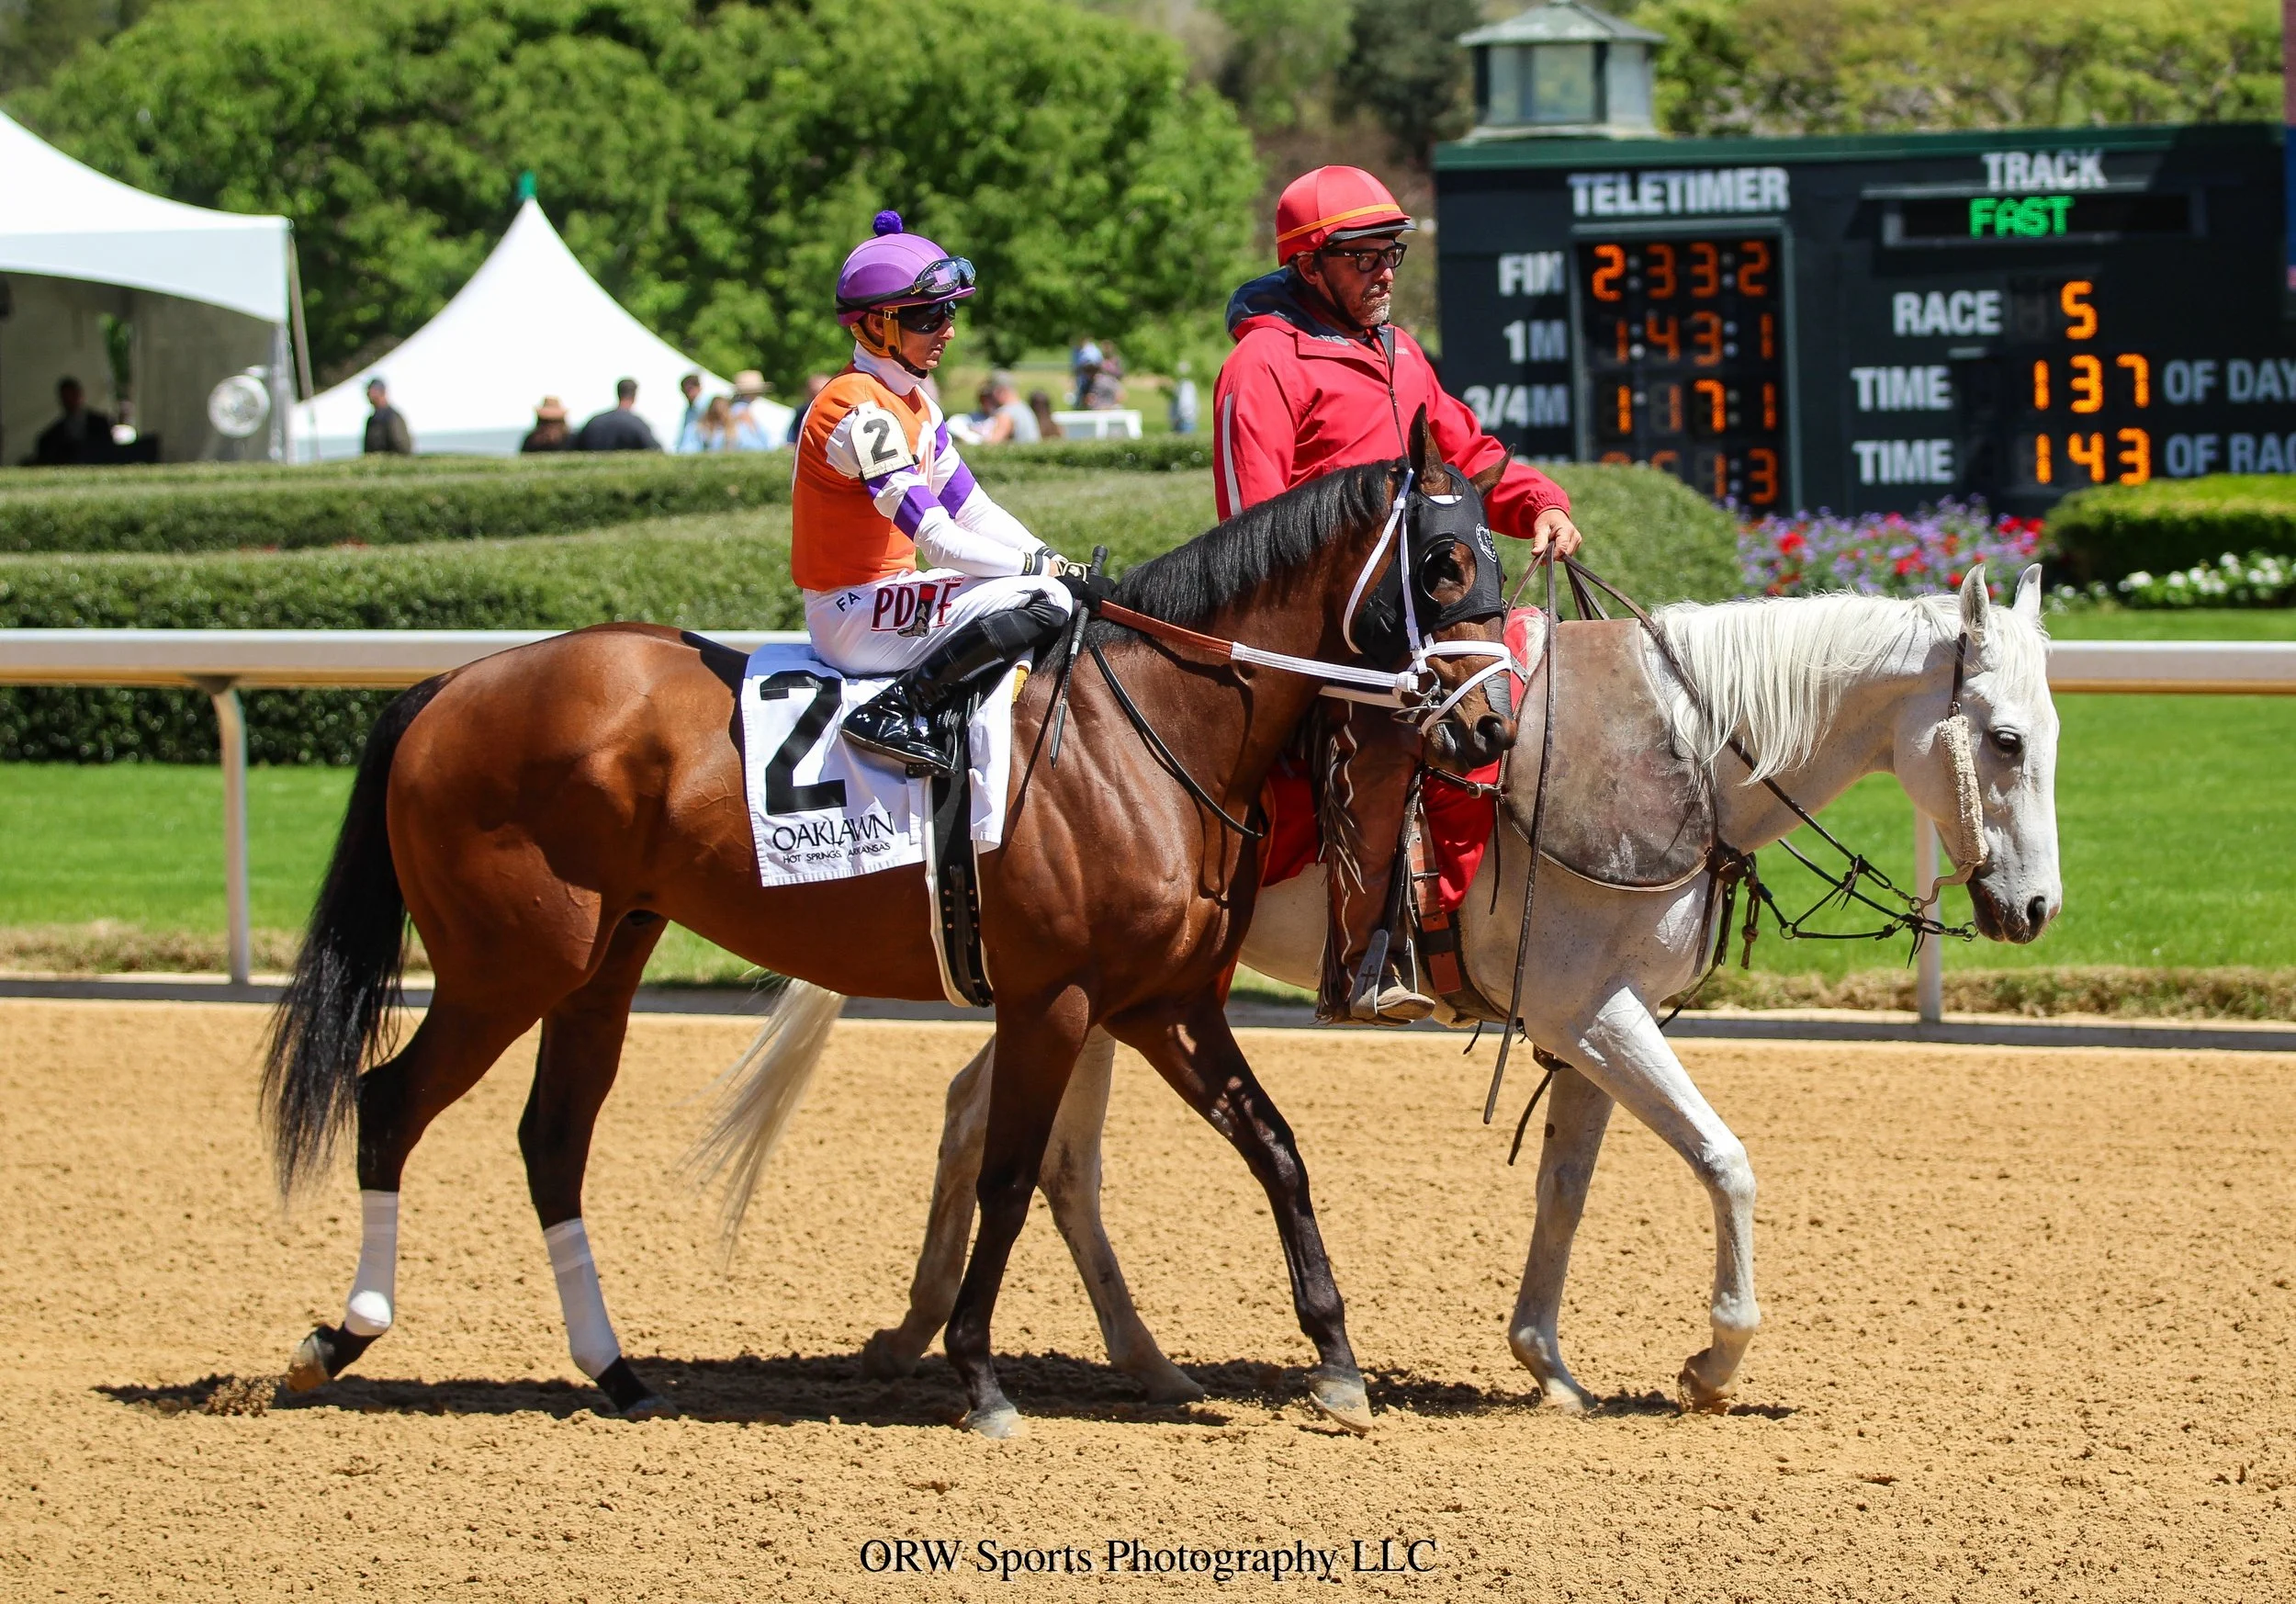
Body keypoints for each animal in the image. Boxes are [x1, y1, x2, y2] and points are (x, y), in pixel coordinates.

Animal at [263, 412, 1518, 1436]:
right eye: (1445, 562)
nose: (1492, 727)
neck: (1144, 728)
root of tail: (449, 685)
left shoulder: (1165, 1003)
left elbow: (1276, 1149)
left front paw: (1338, 1364)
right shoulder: (1052, 1001)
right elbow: (1007, 1176)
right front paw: (979, 1377)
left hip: (601, 964)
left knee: (551, 1142)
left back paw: (615, 1373)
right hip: (505, 965)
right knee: (390, 1102)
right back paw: (340, 1334)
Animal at [692, 564, 2062, 1414]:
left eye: (2052, 735)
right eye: (2003, 738)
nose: (2037, 907)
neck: (1670, 747)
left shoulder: (1589, 1026)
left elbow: (1566, 1189)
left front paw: (1545, 1361)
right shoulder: (1592, 1013)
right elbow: (1725, 1160)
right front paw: (1715, 1359)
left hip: (1092, 995)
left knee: (1011, 1132)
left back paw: (1023, 1343)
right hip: (1086, 992)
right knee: (1017, 1136)